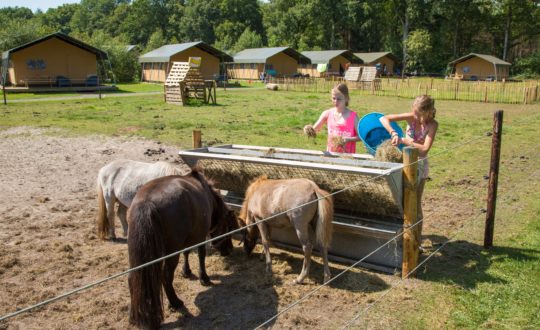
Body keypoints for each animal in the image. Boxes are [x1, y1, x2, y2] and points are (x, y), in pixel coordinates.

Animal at [127, 170, 237, 330]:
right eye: (228, 227)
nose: (229, 250)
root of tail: (146, 203)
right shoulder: (200, 236)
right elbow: (201, 255)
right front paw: (204, 278)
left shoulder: (188, 239)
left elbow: (187, 252)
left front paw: (187, 271)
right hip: (170, 253)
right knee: (165, 276)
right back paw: (175, 302)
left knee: (132, 279)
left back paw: (134, 316)